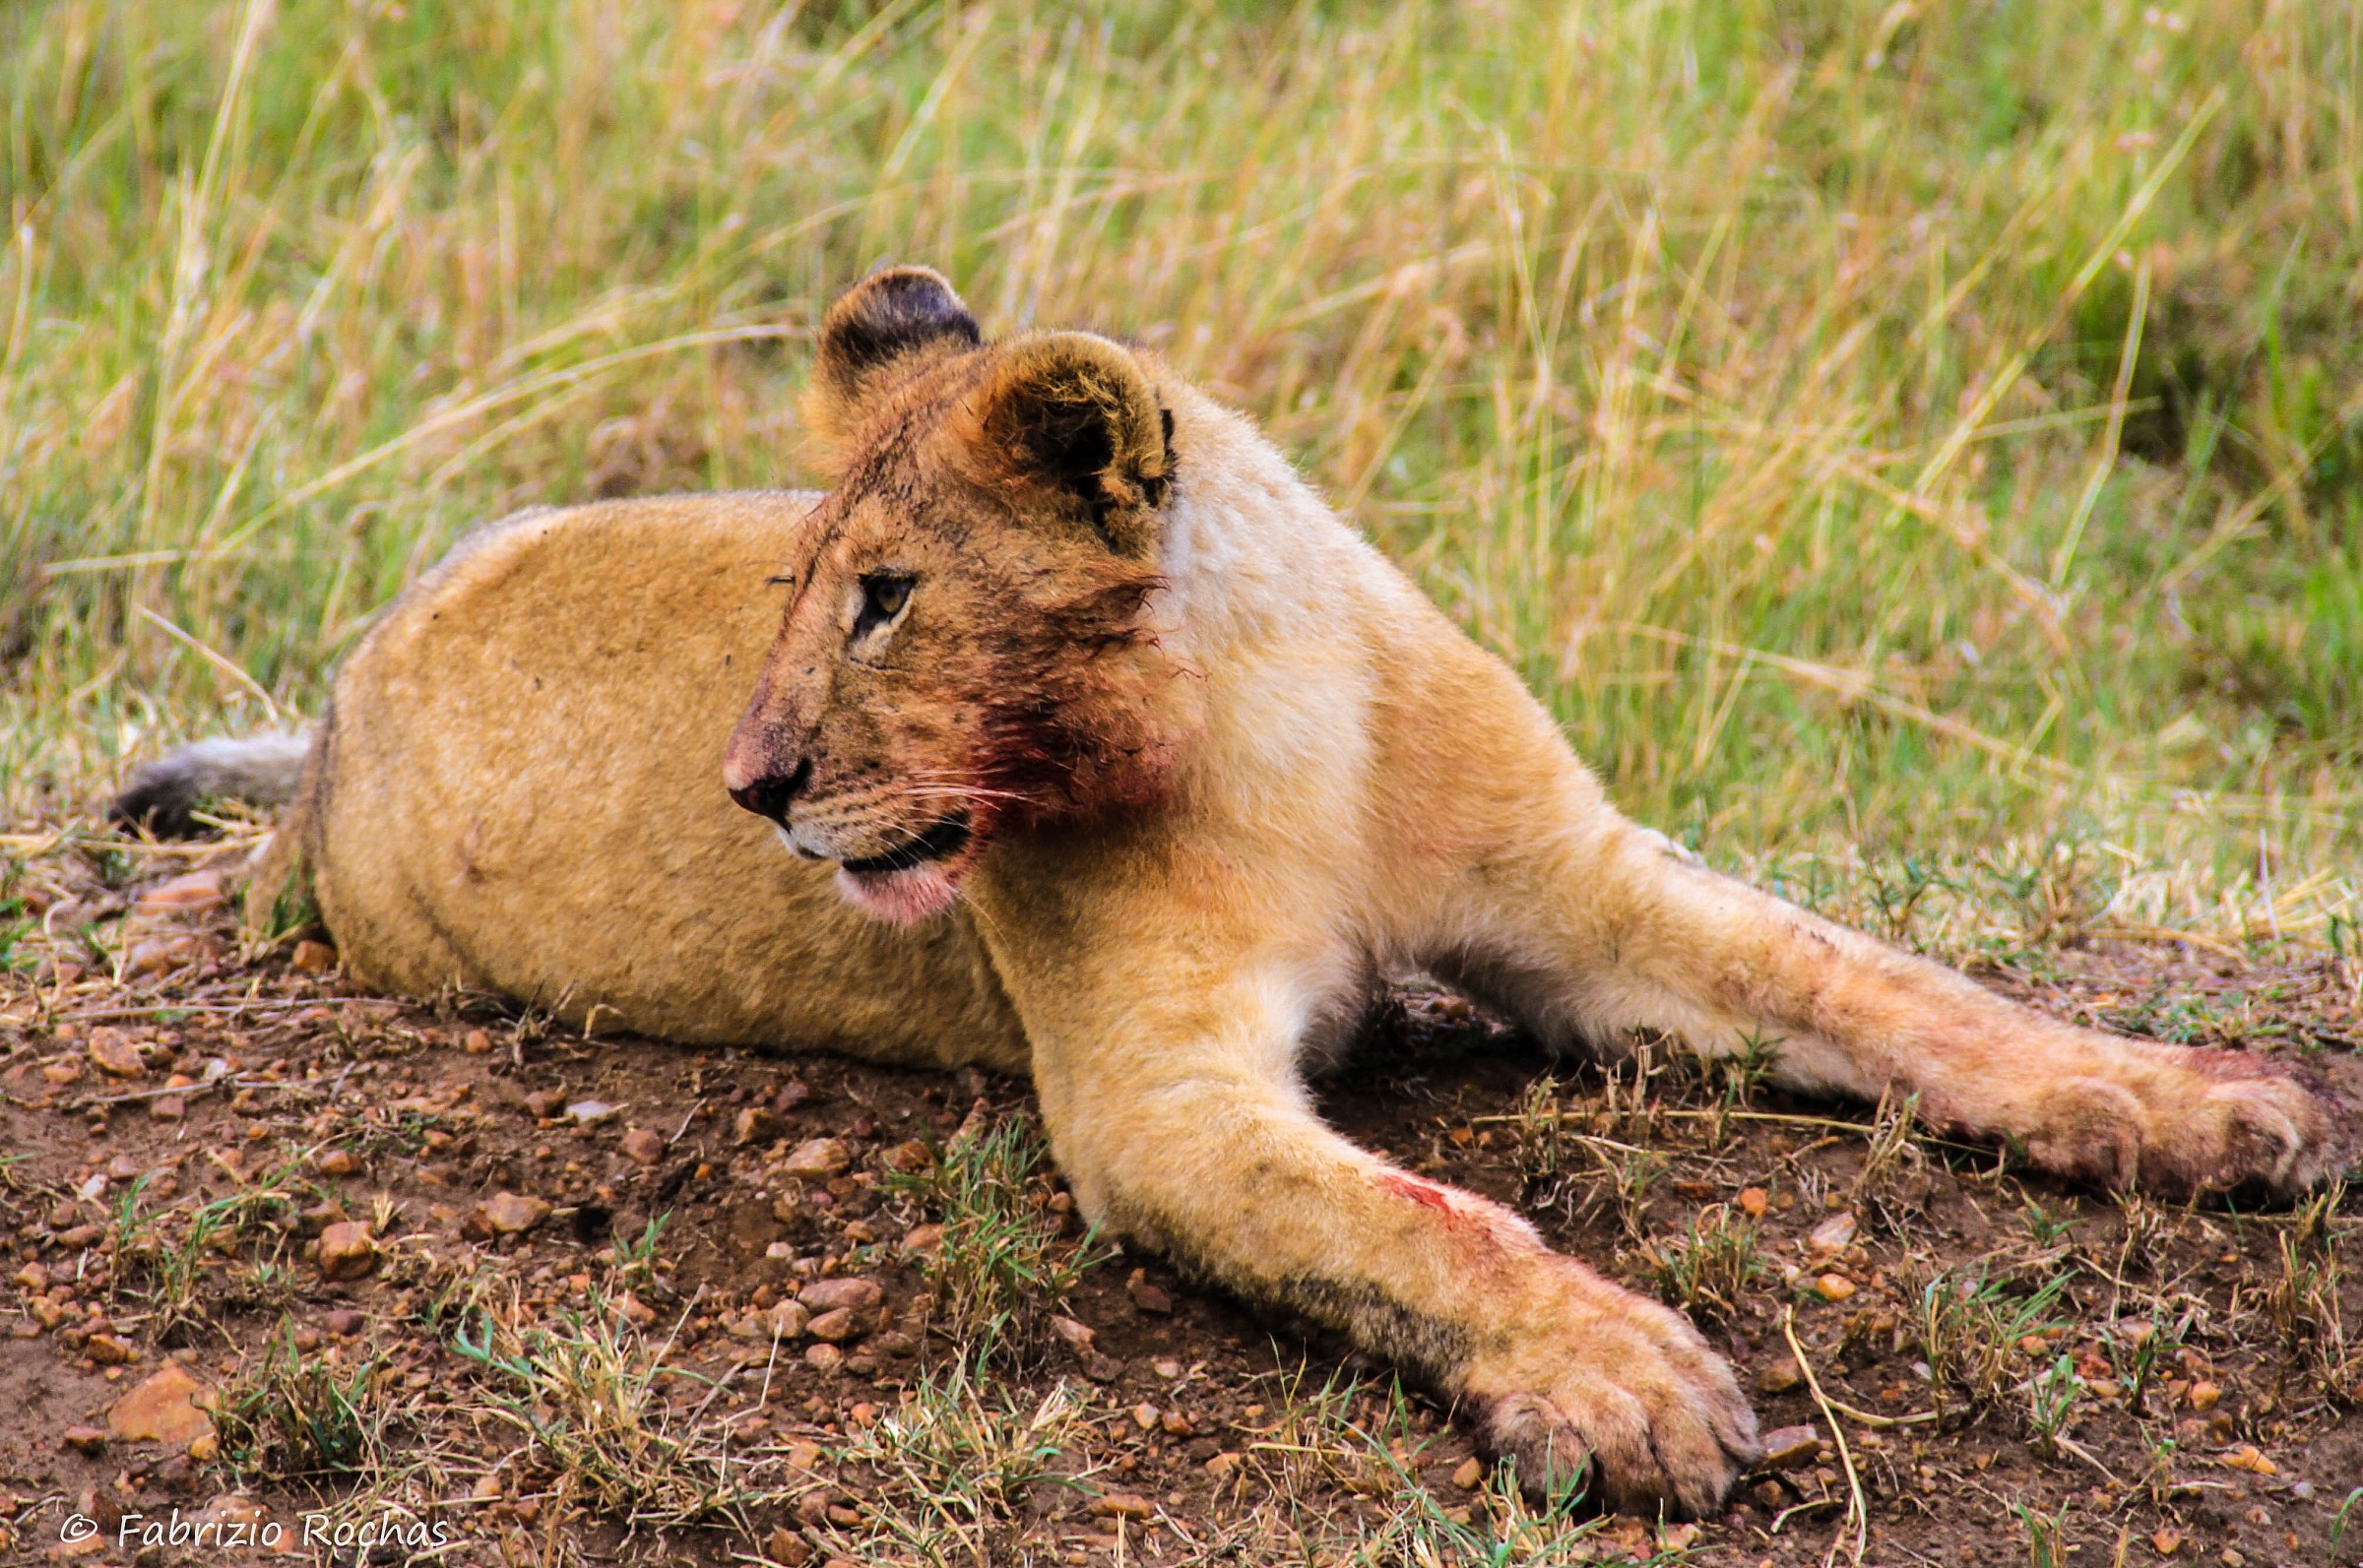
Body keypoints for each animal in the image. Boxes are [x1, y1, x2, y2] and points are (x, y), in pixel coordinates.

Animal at [115, 266, 2356, 1517]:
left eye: (886, 595)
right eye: (800, 592)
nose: (749, 788)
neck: (1272, 726)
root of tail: (338, 717)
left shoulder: (1589, 892)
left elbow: (1890, 985)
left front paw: (2200, 1107)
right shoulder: (1153, 1092)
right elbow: (1421, 1220)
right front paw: (1626, 1383)